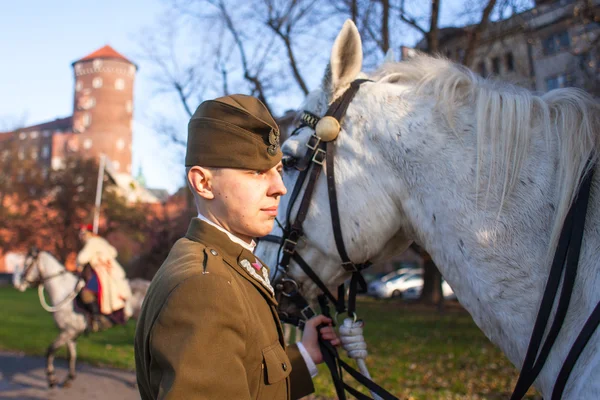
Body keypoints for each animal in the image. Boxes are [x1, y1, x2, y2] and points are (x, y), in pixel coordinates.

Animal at [12, 248, 148, 390]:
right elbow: (71, 356)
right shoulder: (71, 333)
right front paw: (69, 378)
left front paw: (52, 379)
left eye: (27, 264)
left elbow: (50, 351)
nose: (19, 284)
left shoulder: (68, 331)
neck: (63, 292)